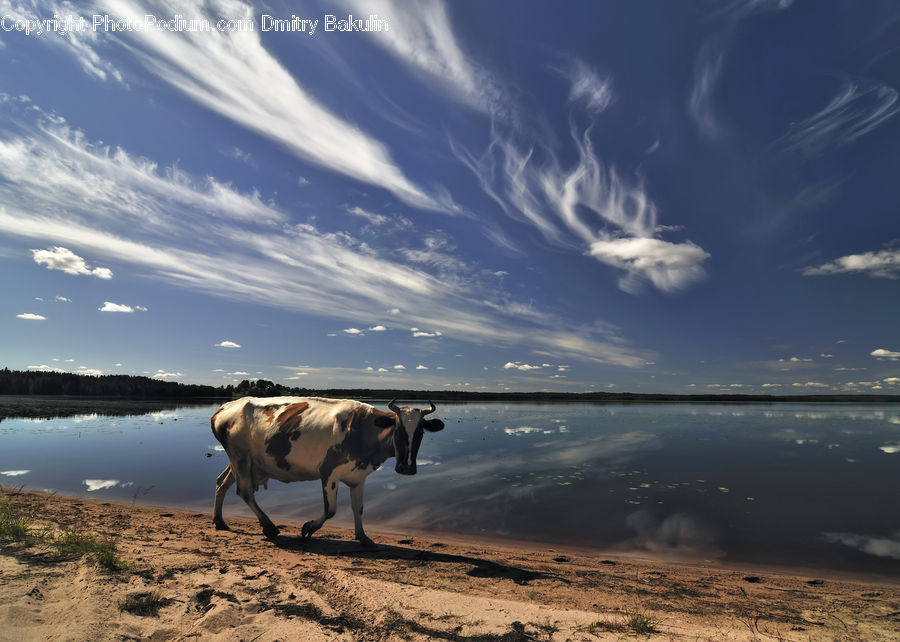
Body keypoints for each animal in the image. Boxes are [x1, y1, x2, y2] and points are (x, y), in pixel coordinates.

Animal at [211, 396, 444, 546]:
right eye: (398, 430)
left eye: (421, 432)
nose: (407, 468)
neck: (362, 429)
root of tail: (225, 407)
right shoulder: (329, 471)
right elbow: (330, 510)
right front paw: (308, 528)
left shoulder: (358, 476)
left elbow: (358, 508)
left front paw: (363, 537)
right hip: (240, 457)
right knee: (245, 491)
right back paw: (269, 526)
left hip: (245, 461)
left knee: (221, 482)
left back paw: (220, 521)